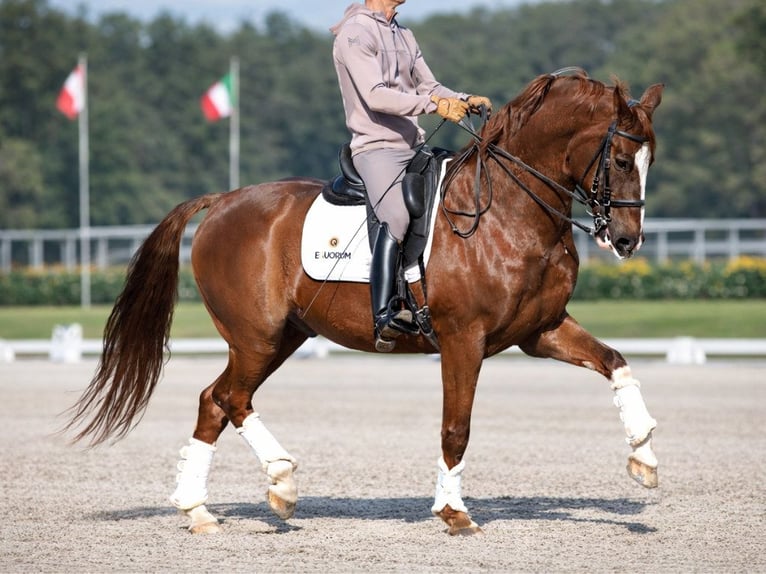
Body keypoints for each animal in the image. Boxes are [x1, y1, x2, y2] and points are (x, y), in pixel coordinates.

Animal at [65, 69, 664, 536]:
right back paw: (281, 481)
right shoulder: (463, 338)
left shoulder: (540, 332)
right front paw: (453, 512)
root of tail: (223, 201)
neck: (508, 213)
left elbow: (616, 363)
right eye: (618, 158)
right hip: (257, 336)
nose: (627, 240)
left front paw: (644, 453)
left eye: (649, 159)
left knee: (214, 401)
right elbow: (456, 426)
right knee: (231, 399)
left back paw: (199, 511)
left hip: (281, 338)